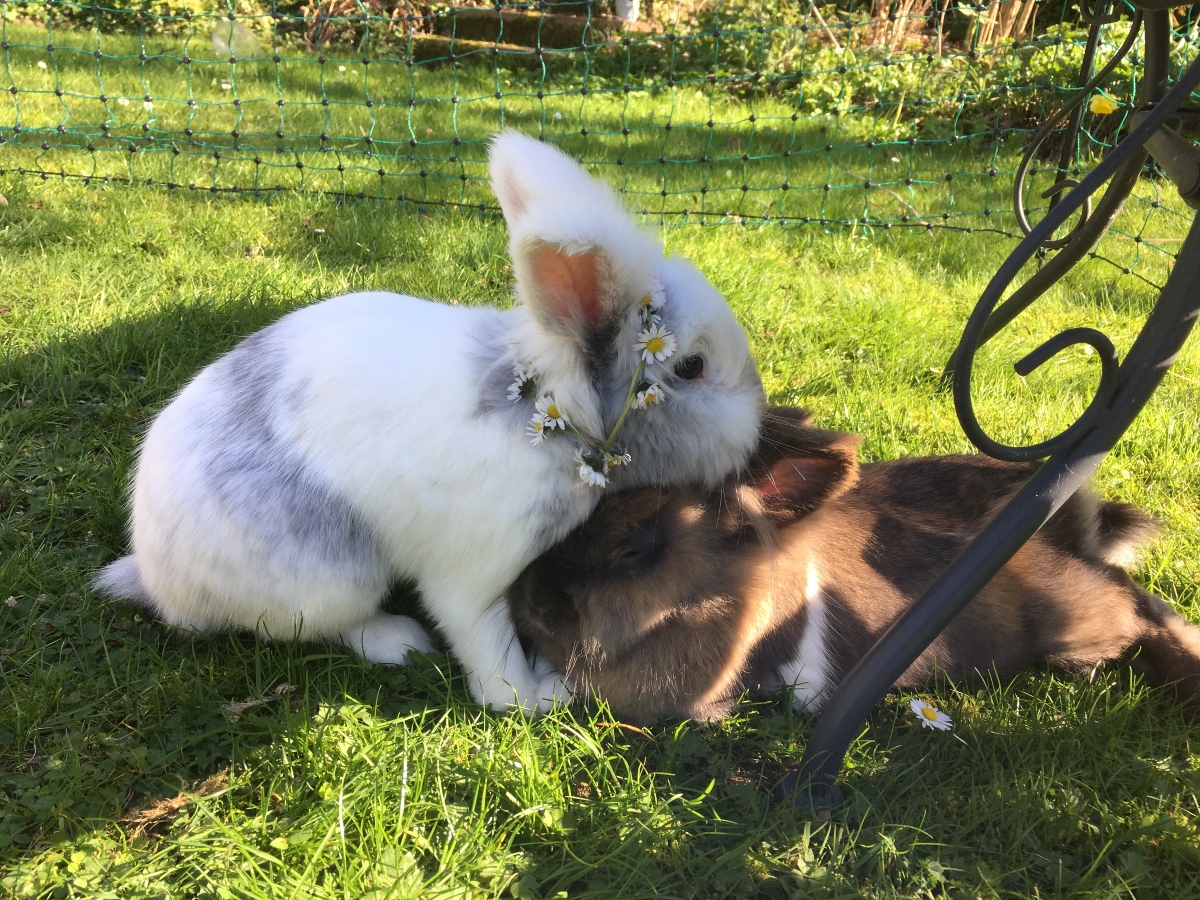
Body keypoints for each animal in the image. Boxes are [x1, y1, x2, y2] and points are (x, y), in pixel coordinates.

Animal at [93, 131, 766, 714]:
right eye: (692, 366)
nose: (758, 419)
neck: (547, 413)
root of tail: (156, 579)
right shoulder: (474, 574)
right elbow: (490, 654)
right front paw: (540, 695)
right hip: (332, 578)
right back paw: (399, 640)